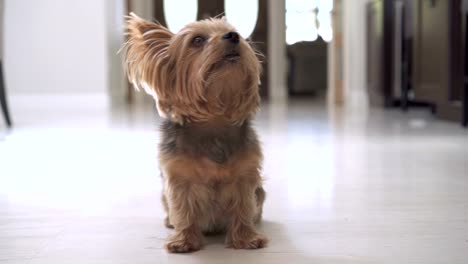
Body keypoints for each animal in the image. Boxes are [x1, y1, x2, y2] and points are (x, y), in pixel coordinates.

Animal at [122, 13, 266, 253]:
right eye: (197, 40)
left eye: (235, 31)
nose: (233, 36)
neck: (214, 121)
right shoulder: (179, 178)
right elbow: (183, 208)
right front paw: (184, 241)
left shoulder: (245, 176)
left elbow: (243, 206)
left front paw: (246, 238)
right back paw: (170, 222)